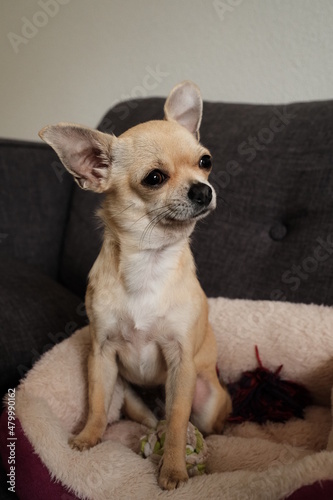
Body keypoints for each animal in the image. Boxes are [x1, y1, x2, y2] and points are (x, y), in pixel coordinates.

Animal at [39, 81, 230, 488]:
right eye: (154, 178)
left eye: (205, 161)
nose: (203, 190)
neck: (149, 261)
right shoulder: (101, 356)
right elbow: (97, 405)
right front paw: (87, 439)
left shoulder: (181, 363)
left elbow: (177, 422)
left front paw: (173, 469)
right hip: (128, 395)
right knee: (149, 418)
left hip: (206, 398)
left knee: (193, 420)